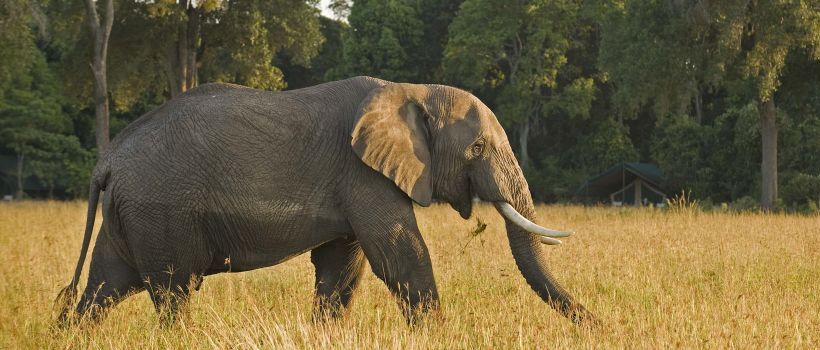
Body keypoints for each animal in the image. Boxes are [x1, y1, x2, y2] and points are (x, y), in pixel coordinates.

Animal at [57, 76, 596, 326]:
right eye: (479, 148)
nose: (600, 326)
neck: (412, 90)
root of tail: (109, 159)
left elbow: (342, 268)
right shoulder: (364, 175)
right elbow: (402, 256)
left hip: (132, 213)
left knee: (104, 288)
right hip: (160, 211)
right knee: (173, 291)